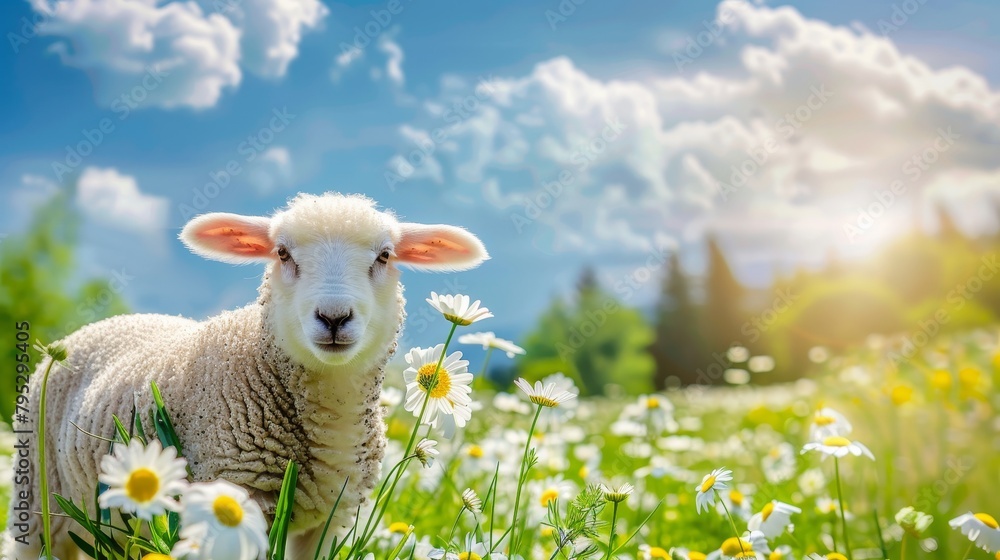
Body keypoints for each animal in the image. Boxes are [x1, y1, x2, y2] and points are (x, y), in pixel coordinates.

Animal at [5, 192, 489, 560]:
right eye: (282, 253)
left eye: (385, 256)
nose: (334, 317)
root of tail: (106, 323)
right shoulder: (232, 496)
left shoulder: (332, 518)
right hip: (38, 492)